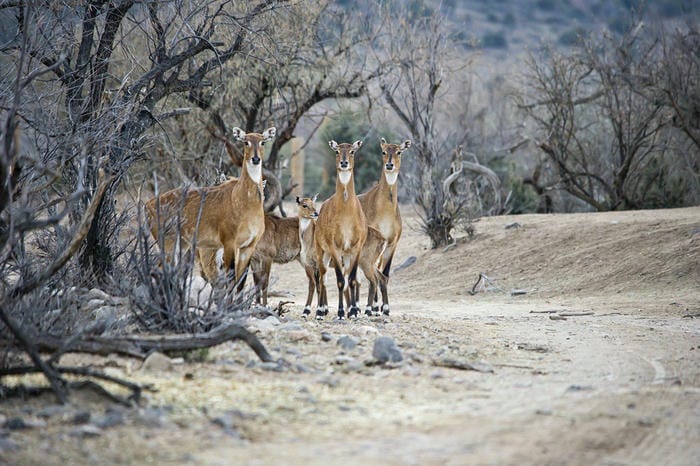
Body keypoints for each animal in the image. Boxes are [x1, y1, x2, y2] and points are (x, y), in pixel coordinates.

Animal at [146, 125, 276, 290]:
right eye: (245, 141)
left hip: (182, 244)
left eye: (263, 142)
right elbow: (230, 279)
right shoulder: (229, 243)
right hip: (167, 243)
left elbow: (240, 282)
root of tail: (148, 204)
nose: (256, 159)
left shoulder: (248, 247)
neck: (244, 201)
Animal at [312, 138, 366, 320]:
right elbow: (340, 281)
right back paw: (320, 311)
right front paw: (341, 312)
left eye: (352, 151)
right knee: (322, 279)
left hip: (345, 255)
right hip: (322, 252)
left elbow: (352, 280)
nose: (344, 163)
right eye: (336, 151)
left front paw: (354, 311)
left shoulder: (355, 248)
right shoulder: (334, 248)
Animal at [360, 137, 410, 314]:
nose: (389, 165)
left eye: (399, 152)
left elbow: (385, 274)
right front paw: (376, 306)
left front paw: (386, 307)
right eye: (383, 151)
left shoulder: (392, 244)